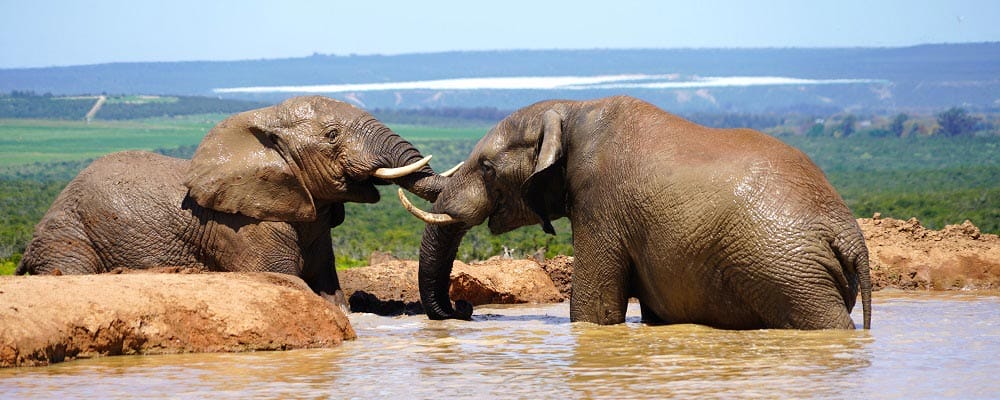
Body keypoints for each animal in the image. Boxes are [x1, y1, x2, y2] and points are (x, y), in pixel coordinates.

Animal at [14, 96, 446, 306]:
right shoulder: (242, 225)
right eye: (332, 135)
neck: (262, 121)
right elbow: (287, 281)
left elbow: (330, 293)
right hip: (68, 234)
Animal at [398, 95, 868, 330]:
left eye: (487, 167)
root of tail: (850, 237)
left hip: (791, 271)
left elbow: (595, 311)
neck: (572, 109)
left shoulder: (600, 202)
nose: (464, 309)